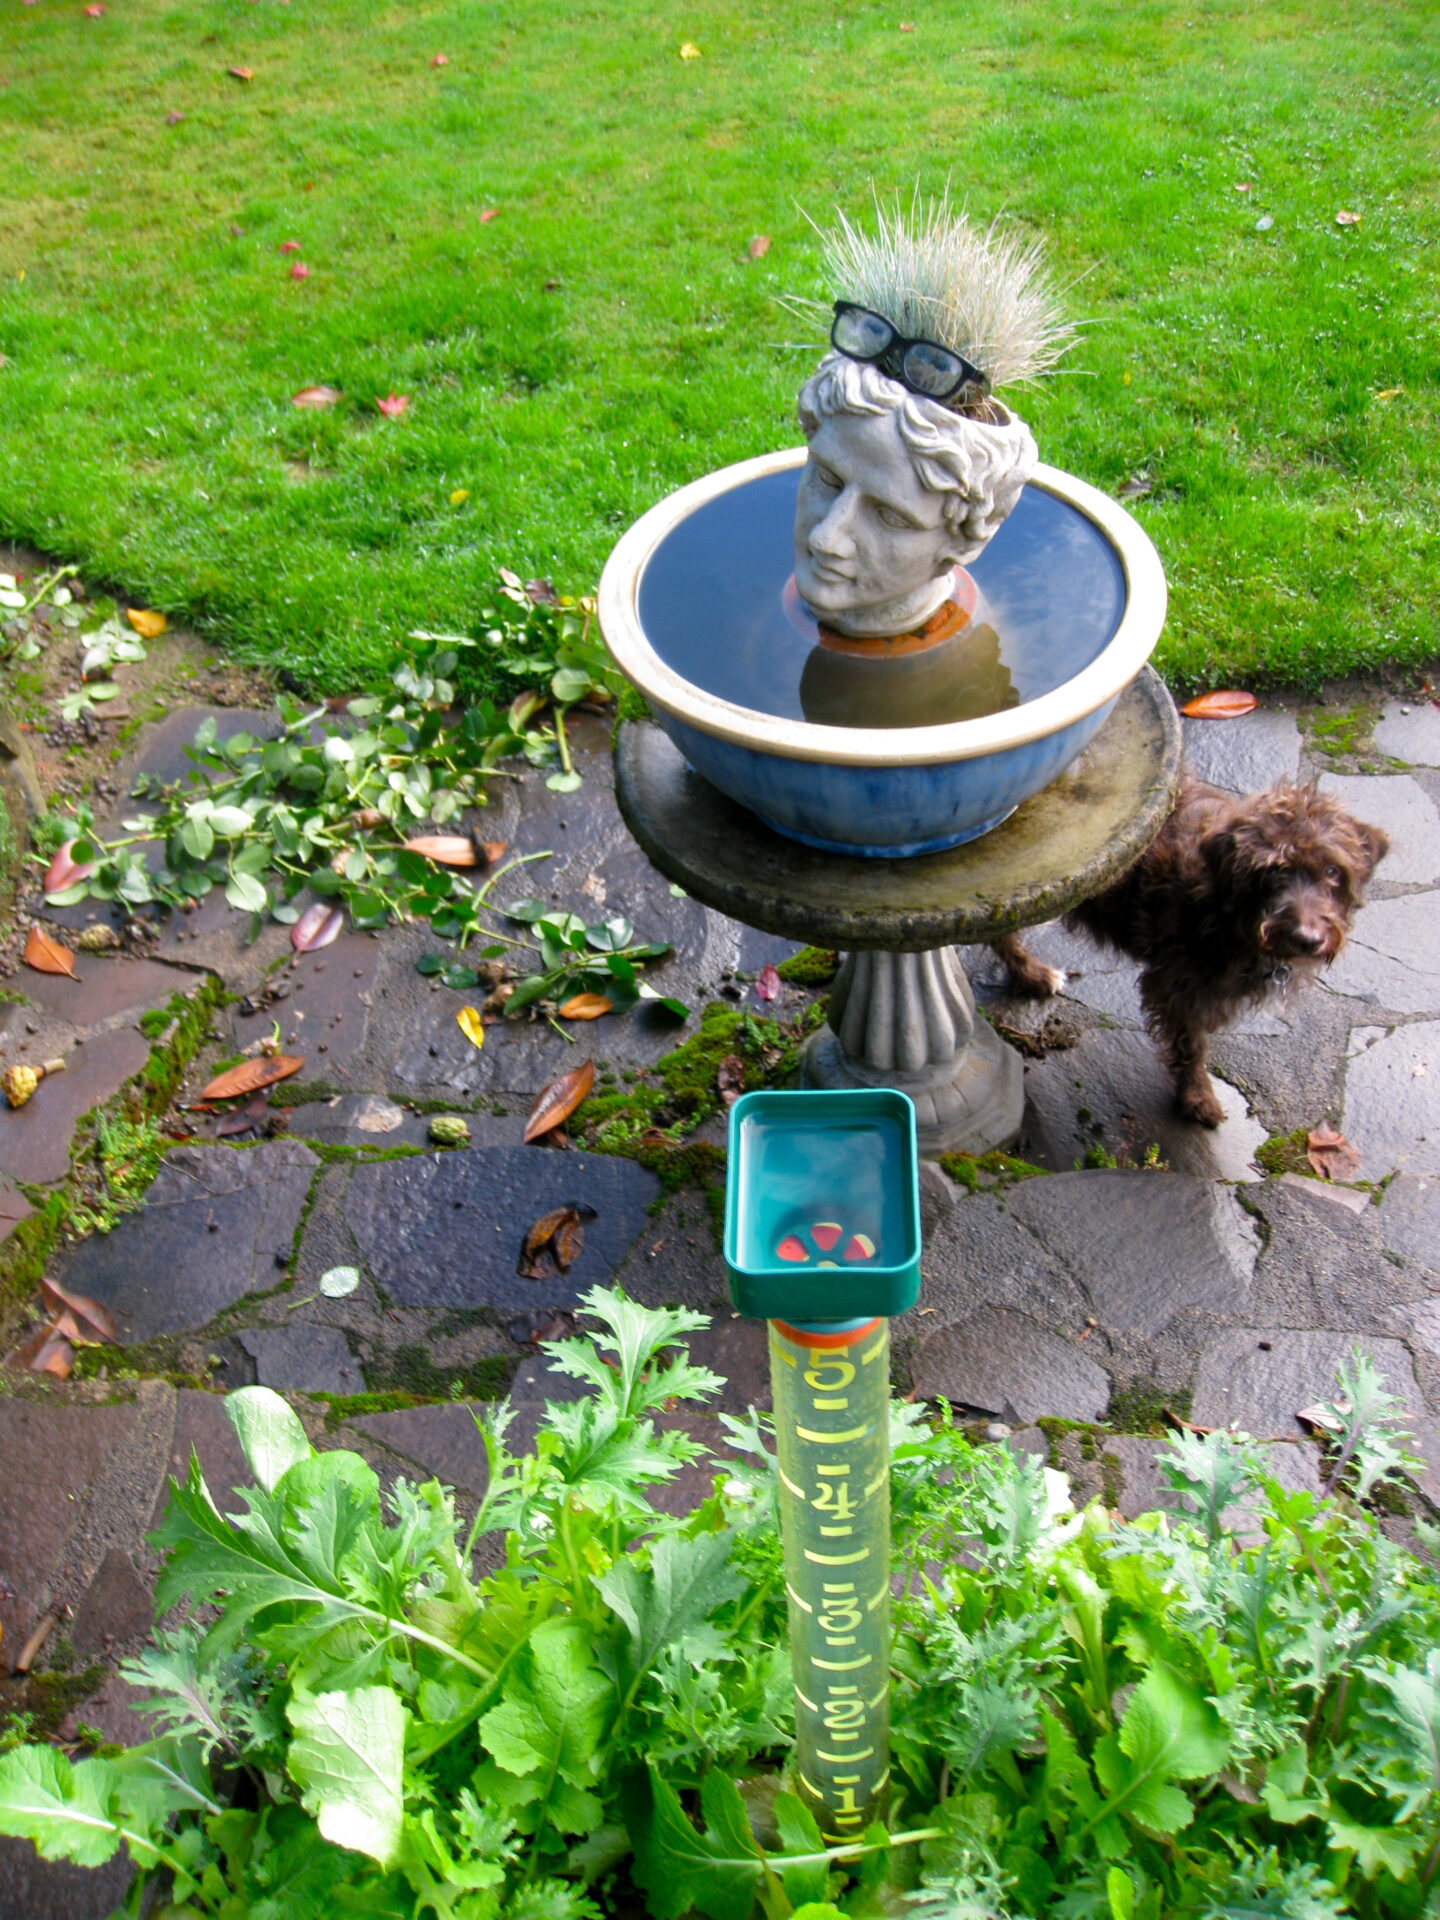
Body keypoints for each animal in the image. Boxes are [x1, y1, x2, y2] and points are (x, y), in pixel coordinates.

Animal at [992, 774, 1389, 1126]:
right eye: (1273, 872)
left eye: (1332, 871)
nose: (1308, 939)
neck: (1228, 906)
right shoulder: (1177, 988)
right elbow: (1191, 1046)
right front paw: (1197, 1096)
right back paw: (1032, 973)